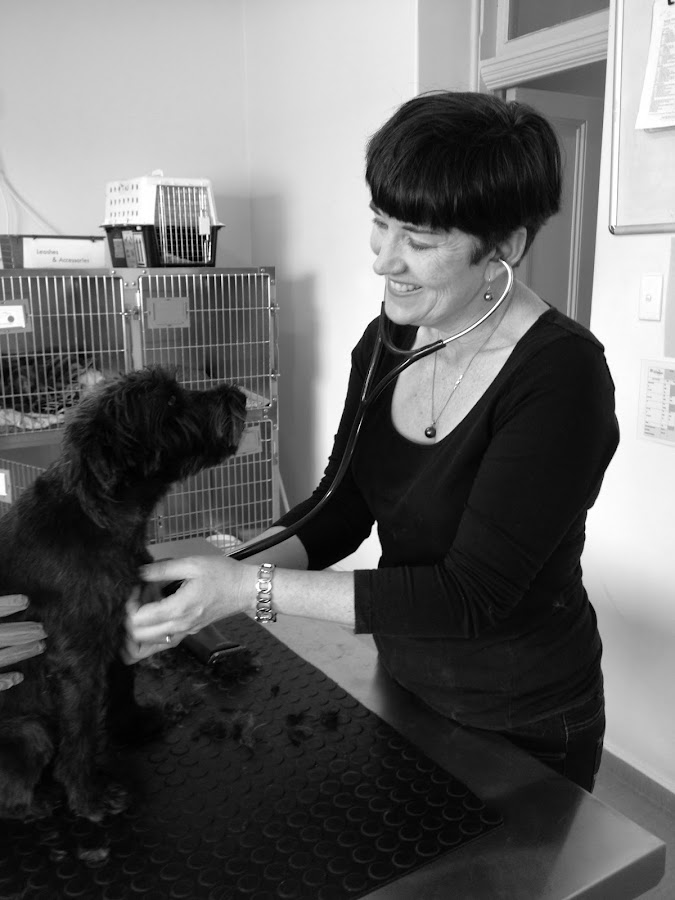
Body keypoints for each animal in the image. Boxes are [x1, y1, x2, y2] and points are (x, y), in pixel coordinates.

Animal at [0, 366, 246, 821]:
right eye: (170, 401)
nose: (237, 395)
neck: (97, 518)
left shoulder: (119, 628)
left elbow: (121, 684)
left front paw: (132, 725)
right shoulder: (77, 660)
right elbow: (80, 731)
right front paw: (88, 797)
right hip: (30, 731)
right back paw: (38, 802)